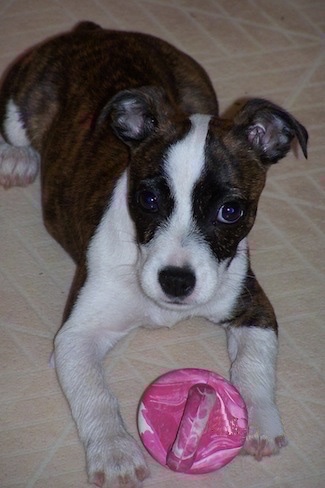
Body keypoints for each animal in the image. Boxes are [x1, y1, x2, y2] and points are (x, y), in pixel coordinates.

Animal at [0, 21, 308, 486]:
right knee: (15, 130)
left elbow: (254, 365)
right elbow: (96, 395)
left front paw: (259, 422)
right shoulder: (76, 337)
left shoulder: (254, 306)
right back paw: (17, 158)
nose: (176, 282)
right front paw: (115, 453)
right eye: (147, 200)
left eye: (230, 211)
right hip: (22, 99)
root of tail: (96, 30)